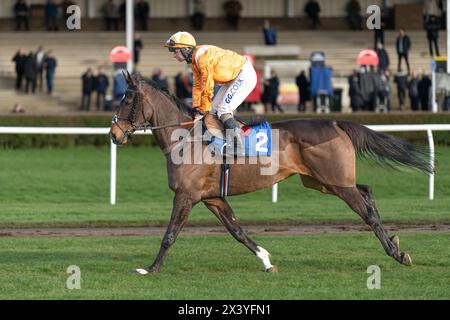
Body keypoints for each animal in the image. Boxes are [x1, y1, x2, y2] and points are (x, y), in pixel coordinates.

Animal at [109, 72, 432, 276]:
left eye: (127, 100)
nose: (114, 134)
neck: (186, 138)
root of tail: (335, 122)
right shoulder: (212, 197)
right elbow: (237, 230)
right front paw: (266, 260)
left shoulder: (186, 195)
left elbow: (169, 235)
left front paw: (150, 268)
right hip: (323, 181)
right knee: (366, 191)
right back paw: (395, 244)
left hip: (335, 181)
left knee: (366, 211)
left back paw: (396, 253)